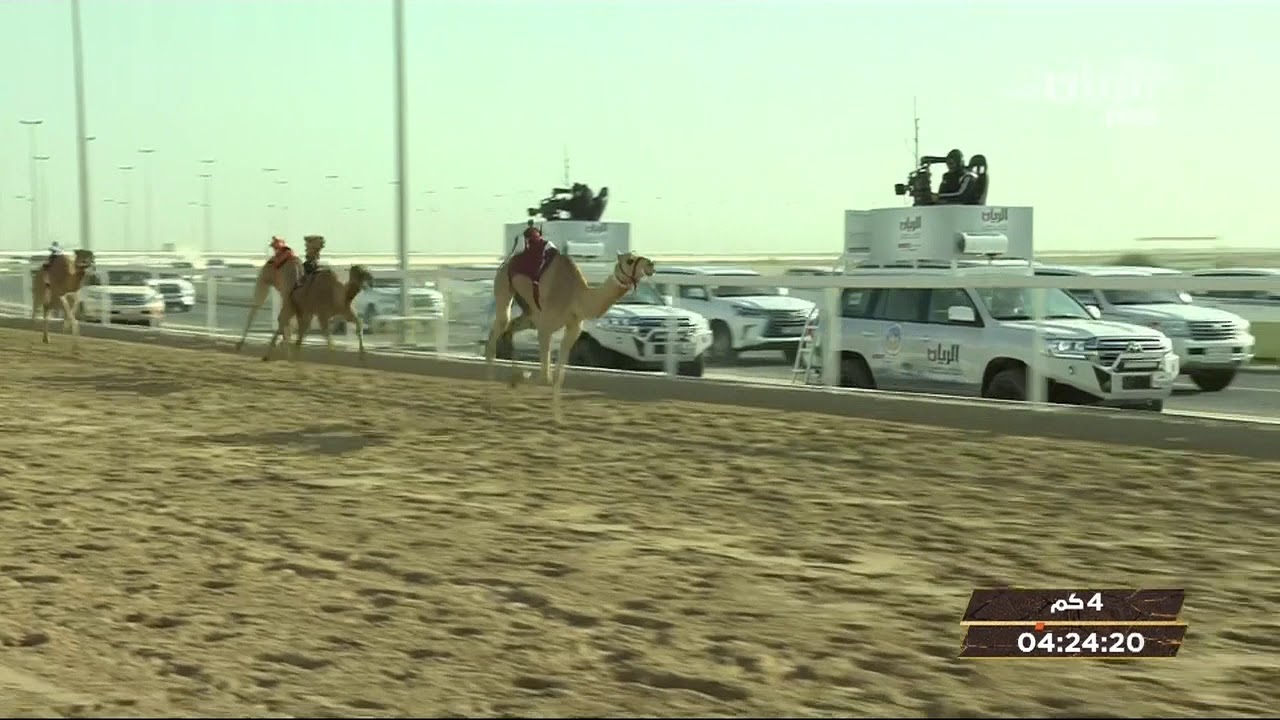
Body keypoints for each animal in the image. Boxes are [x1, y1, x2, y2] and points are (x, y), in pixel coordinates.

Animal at [485, 248, 655, 422]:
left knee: (509, 330)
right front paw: (521, 378)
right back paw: (491, 403)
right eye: (630, 260)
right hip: (504, 287)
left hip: (529, 314)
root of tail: (506, 262)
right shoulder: (545, 328)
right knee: (494, 338)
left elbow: (558, 376)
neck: (577, 297)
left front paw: (558, 418)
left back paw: (512, 378)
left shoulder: (573, 329)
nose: (651, 264)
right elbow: (545, 376)